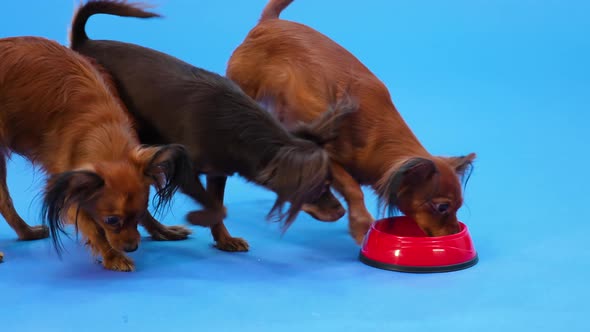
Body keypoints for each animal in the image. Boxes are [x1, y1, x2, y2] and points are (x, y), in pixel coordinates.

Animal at [0, 35, 194, 270]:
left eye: (138, 214)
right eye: (112, 221)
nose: (132, 247)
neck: (102, 125)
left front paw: (162, 231)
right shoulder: (68, 186)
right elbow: (93, 228)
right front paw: (113, 257)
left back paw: (27, 233)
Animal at [225, 0, 476, 244]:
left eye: (457, 207)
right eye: (442, 207)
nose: (456, 232)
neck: (376, 136)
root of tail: (270, 22)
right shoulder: (328, 158)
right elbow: (352, 188)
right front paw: (361, 225)